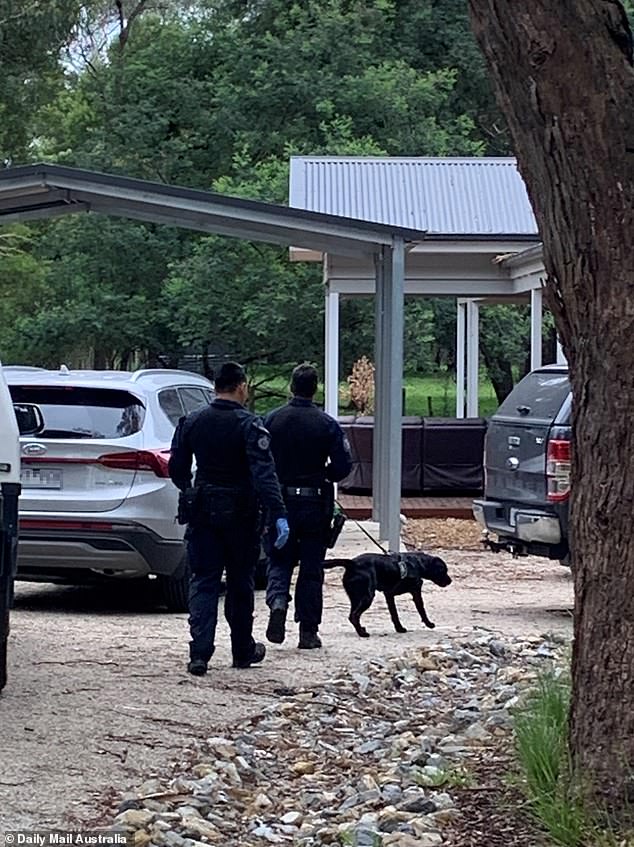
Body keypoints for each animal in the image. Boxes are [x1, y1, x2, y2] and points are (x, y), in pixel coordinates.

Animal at [324, 552, 452, 640]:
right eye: (444, 570)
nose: (450, 581)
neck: (418, 564)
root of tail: (352, 563)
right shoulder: (415, 592)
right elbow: (421, 609)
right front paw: (429, 624)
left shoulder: (389, 595)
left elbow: (394, 613)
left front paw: (399, 628)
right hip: (367, 596)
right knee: (354, 616)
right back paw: (362, 633)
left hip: (356, 597)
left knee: (352, 615)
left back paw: (361, 630)